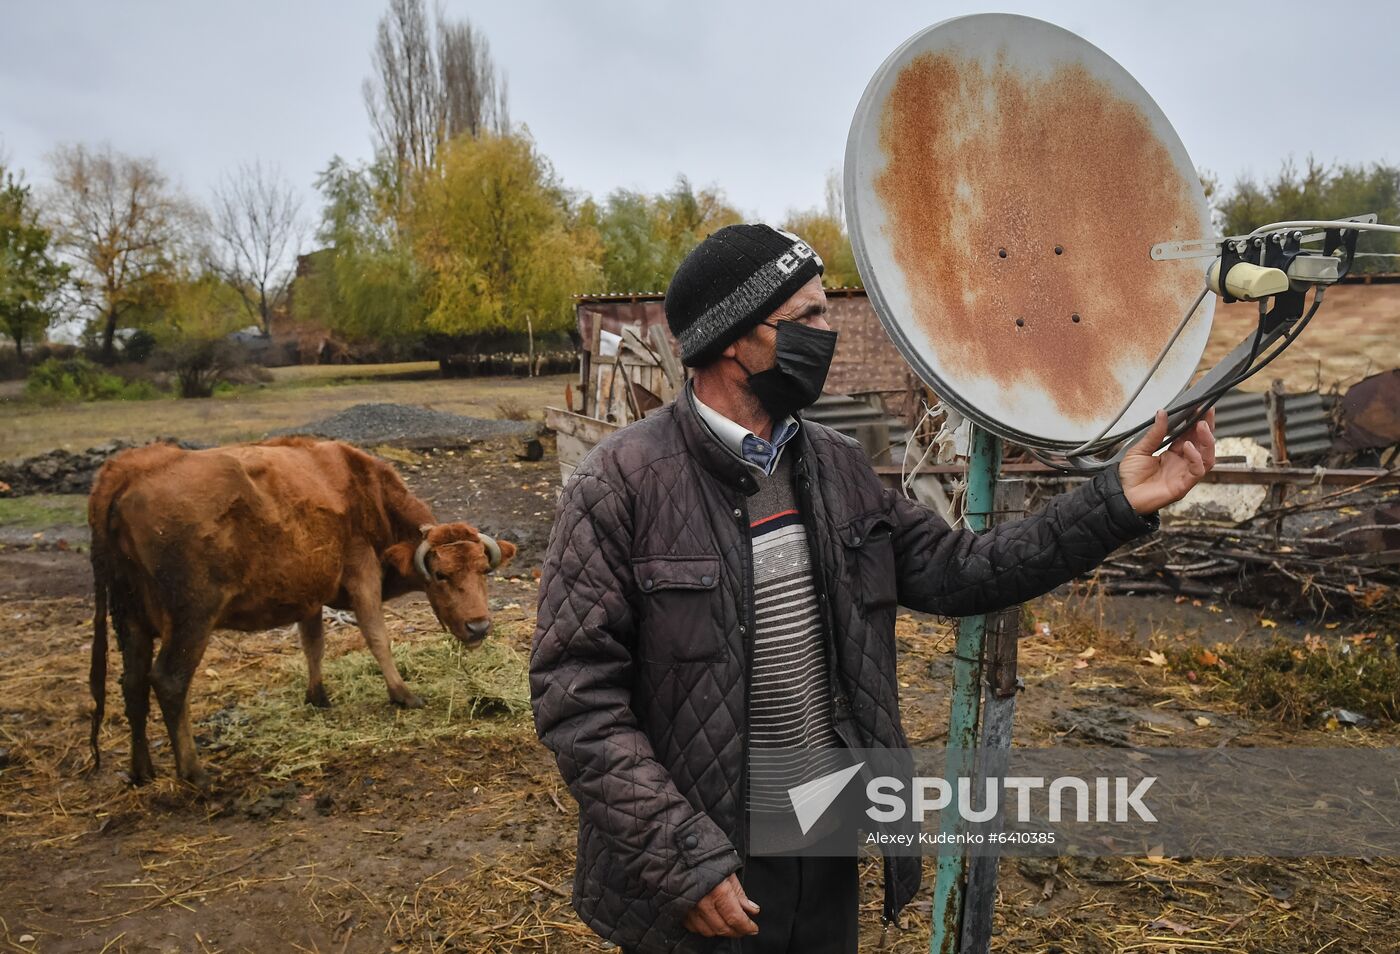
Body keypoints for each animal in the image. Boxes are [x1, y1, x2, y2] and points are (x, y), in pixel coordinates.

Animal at [87, 434, 515, 784]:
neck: (363, 487)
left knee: (133, 683)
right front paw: (402, 694)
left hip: (131, 622)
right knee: (170, 680)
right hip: (191, 619)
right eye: (441, 574)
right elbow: (377, 635)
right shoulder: (362, 569)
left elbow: (313, 644)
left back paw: (141, 770)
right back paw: (194, 773)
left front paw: (317, 695)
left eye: (483, 570)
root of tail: (126, 471)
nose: (479, 627)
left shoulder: (309, 591)